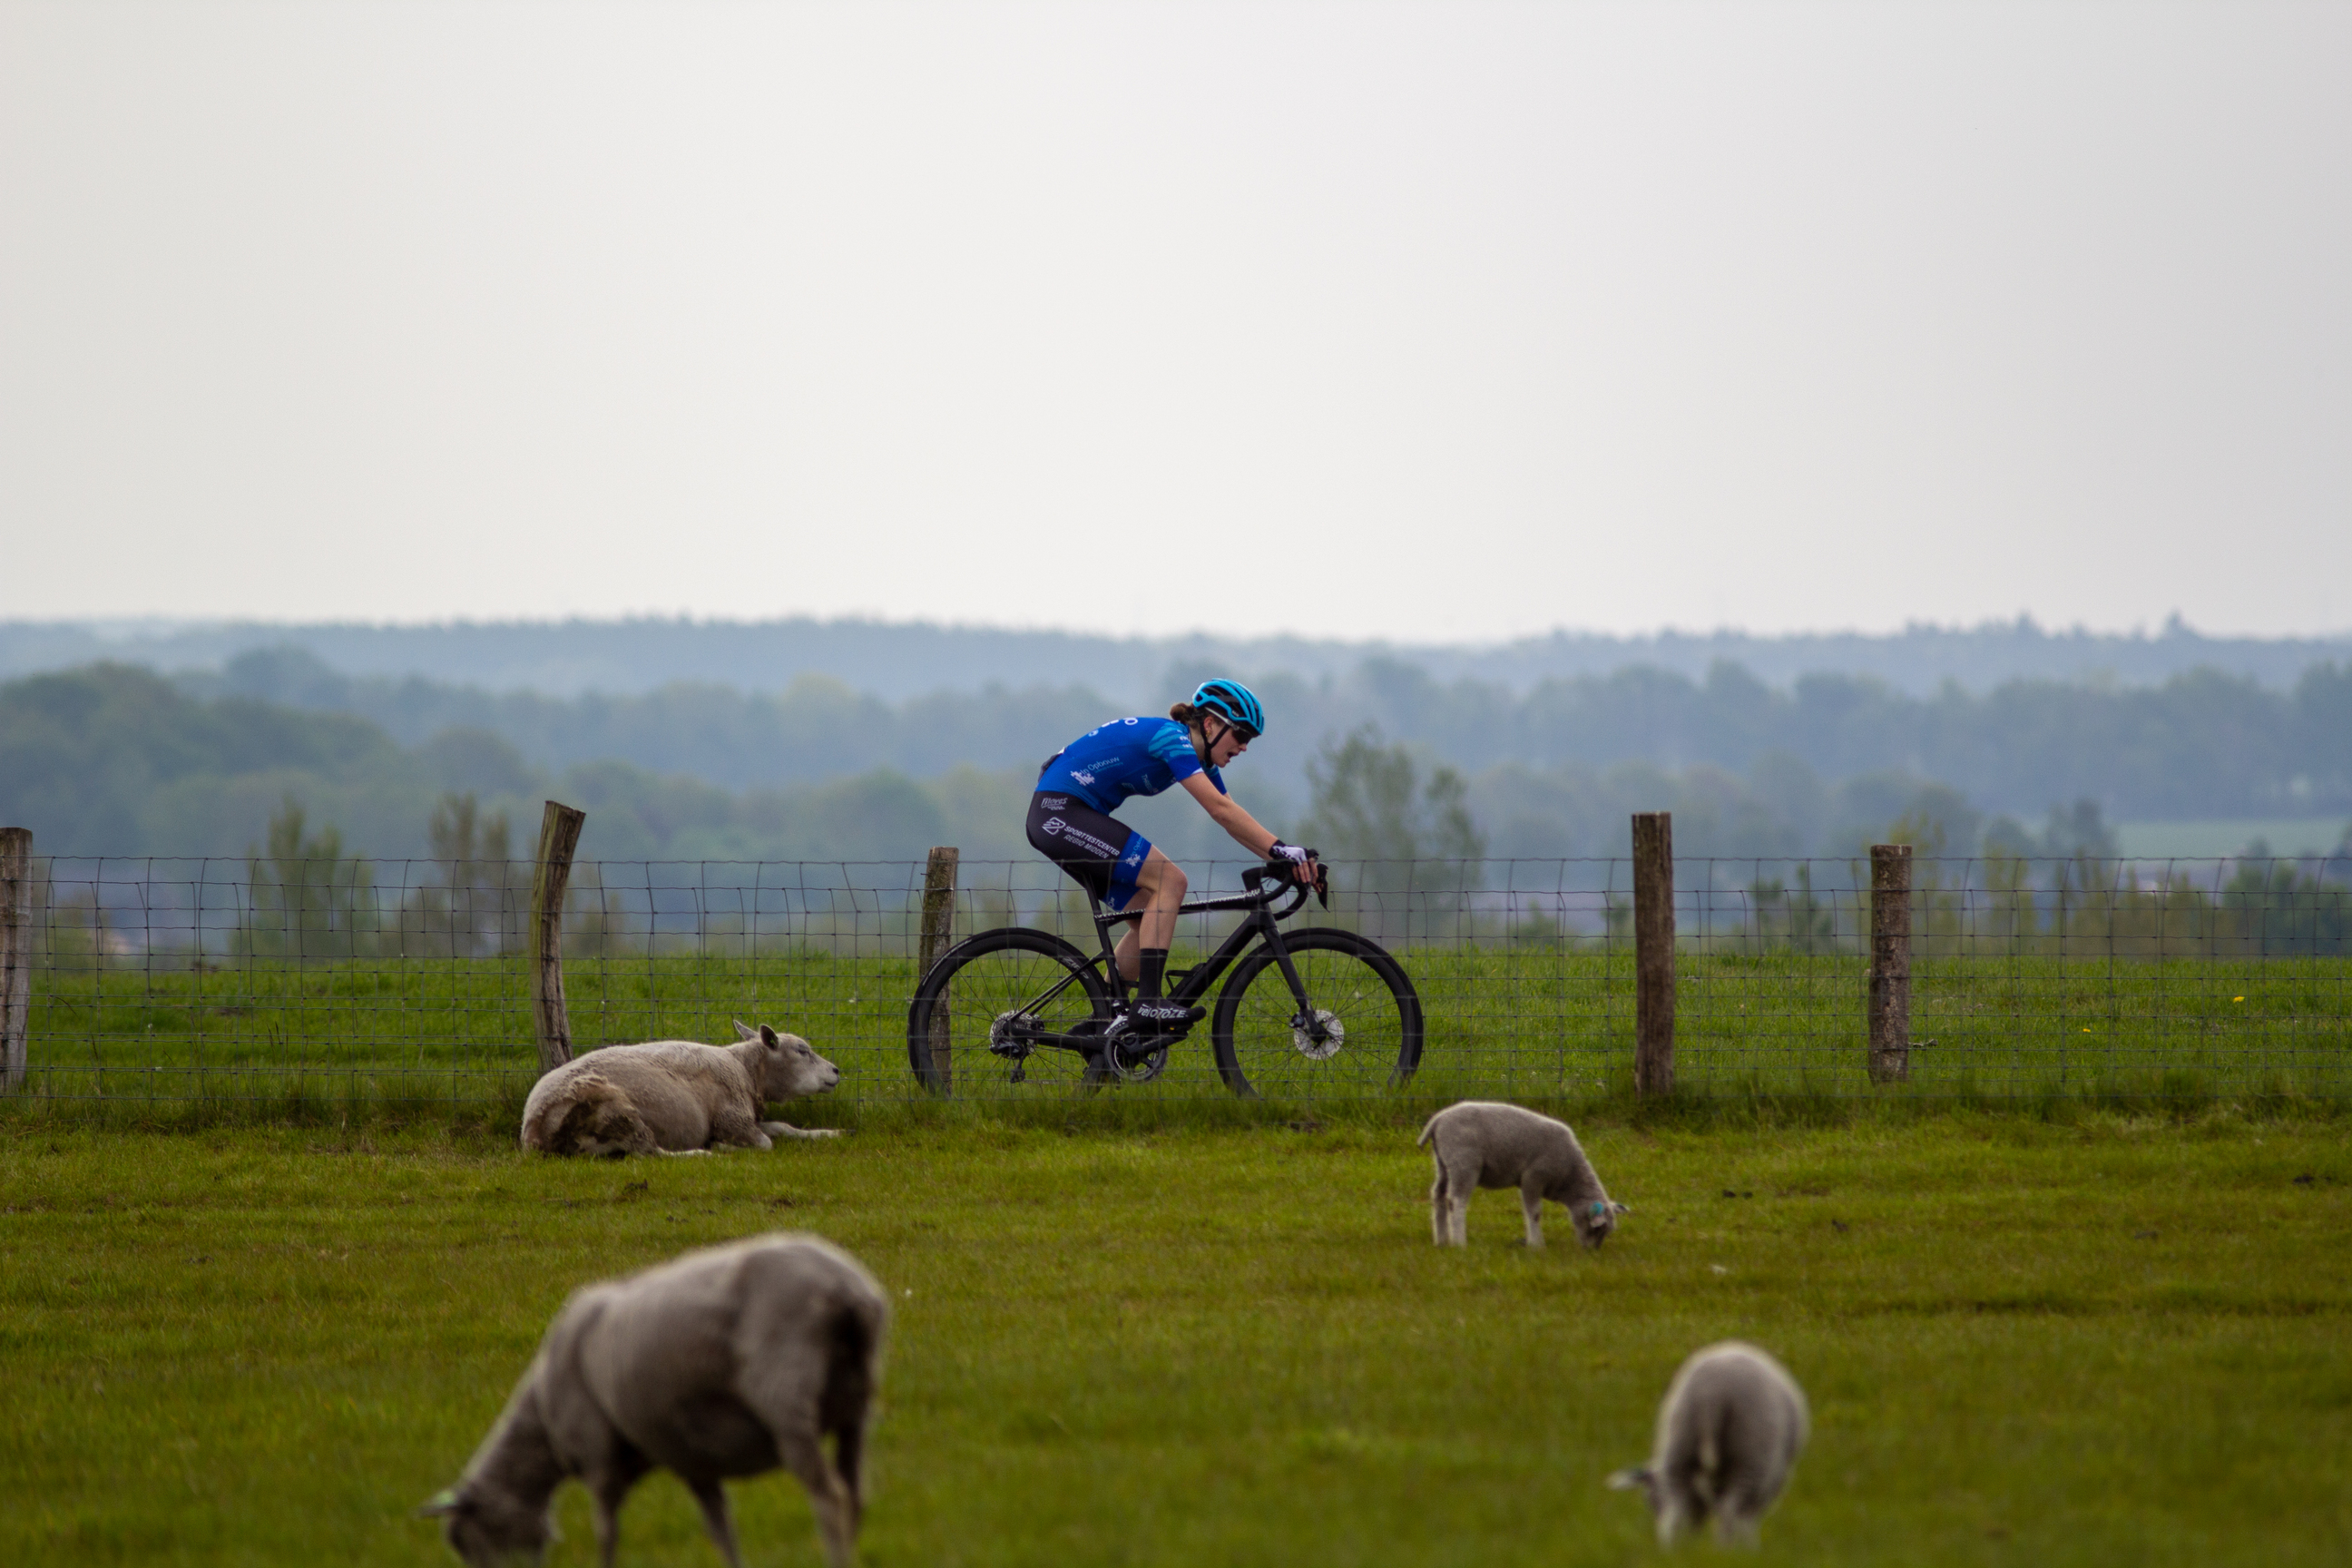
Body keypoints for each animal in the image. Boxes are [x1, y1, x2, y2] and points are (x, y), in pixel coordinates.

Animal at [418, 1231, 884, 1561]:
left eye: (466, 1542)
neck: (543, 1421)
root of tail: (846, 1290)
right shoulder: (693, 1458)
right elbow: (722, 1530)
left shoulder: (598, 1458)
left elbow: (606, 1534)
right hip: (855, 1406)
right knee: (855, 1495)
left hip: (786, 1398)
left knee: (830, 1498)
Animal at [524, 1024, 847, 1161]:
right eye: (802, 1051)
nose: (836, 1071)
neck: (744, 1070)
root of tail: (535, 1131)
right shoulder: (733, 1120)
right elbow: (766, 1143)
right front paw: (722, 1146)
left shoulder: (740, 1118)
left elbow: (783, 1127)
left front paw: (830, 1133)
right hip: (617, 1109)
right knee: (648, 1153)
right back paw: (702, 1152)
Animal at [1420, 1104, 1627, 1250]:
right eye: (1598, 1229)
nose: (1592, 1252)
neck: (1570, 1177)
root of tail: (1437, 1120)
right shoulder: (1533, 1177)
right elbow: (1534, 1212)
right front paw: (1536, 1245)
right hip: (1464, 1163)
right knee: (1456, 1201)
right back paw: (1459, 1243)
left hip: (1443, 1164)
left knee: (1438, 1195)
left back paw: (1441, 1240)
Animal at [1608, 1344, 1806, 1551]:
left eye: (1653, 1502)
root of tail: (1711, 1395)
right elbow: (1748, 1520)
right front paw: (1748, 1547)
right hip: (1753, 1455)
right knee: (1730, 1511)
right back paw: (1726, 1551)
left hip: (1680, 1446)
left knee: (1677, 1514)